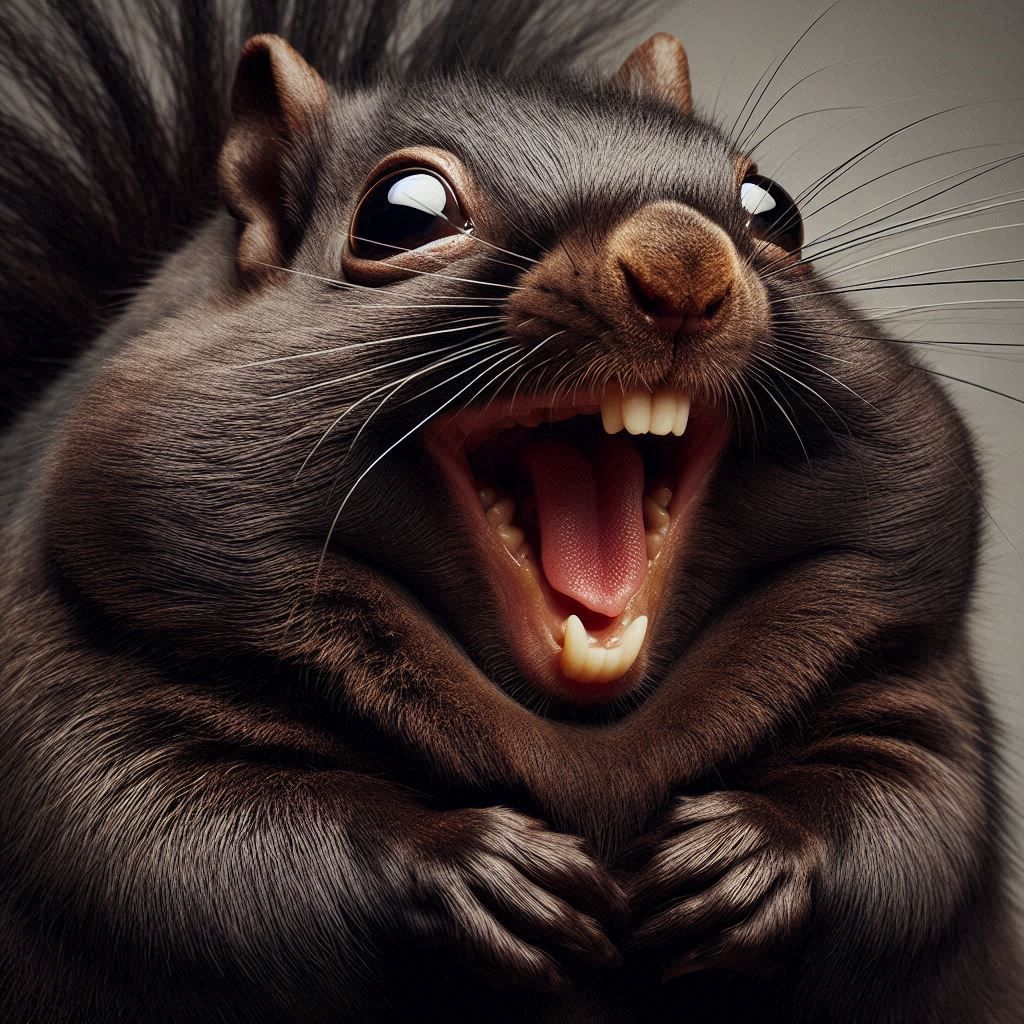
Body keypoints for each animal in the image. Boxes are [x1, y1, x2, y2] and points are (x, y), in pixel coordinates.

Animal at [0, 1, 1020, 1022]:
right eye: (399, 214)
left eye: (775, 209)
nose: (683, 264)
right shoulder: (71, 699)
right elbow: (174, 850)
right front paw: (469, 868)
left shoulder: (912, 691)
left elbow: (914, 829)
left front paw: (752, 856)